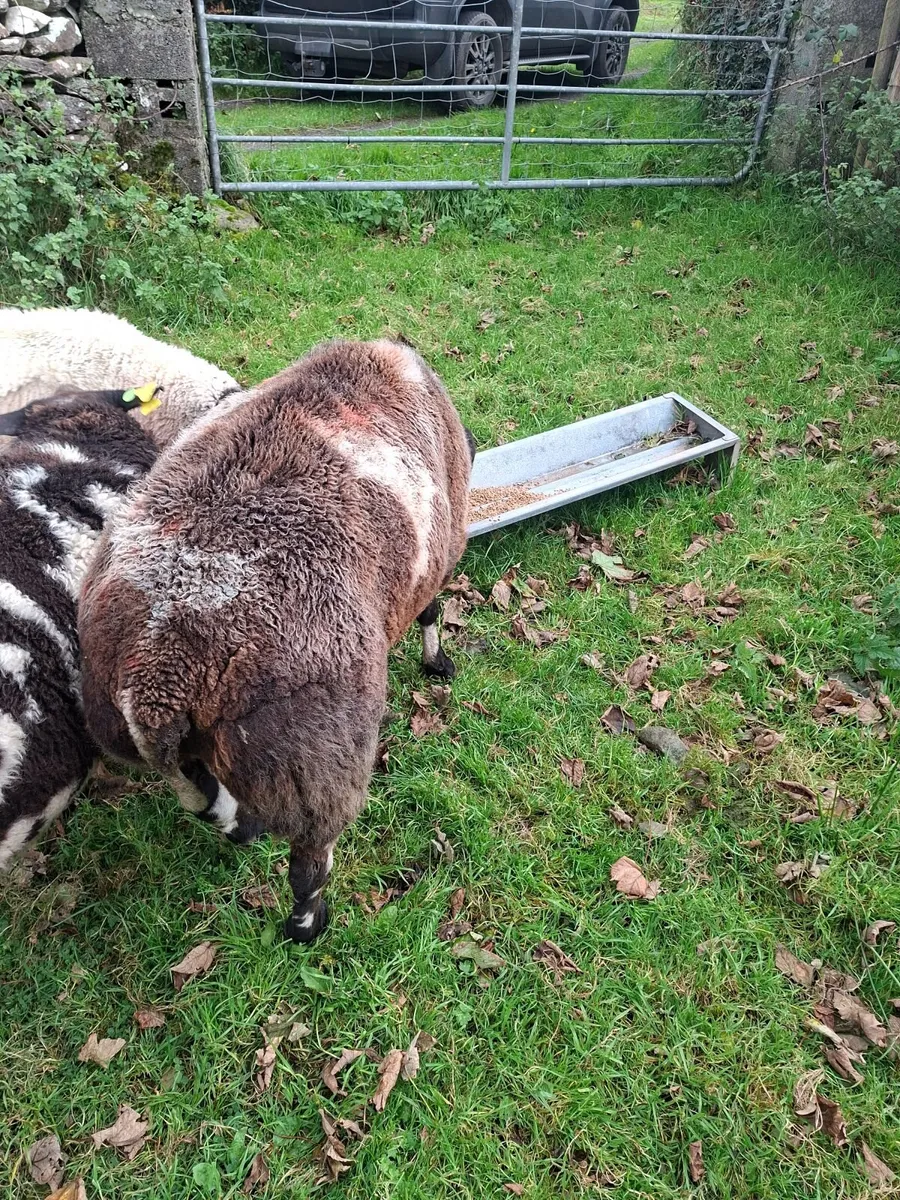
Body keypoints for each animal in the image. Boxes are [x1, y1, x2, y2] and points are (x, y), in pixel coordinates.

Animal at [78, 339, 475, 941]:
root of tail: (157, 674)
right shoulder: (439, 552)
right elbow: (431, 610)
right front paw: (439, 663)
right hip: (312, 762)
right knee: (309, 859)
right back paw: (309, 923)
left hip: (144, 728)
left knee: (199, 795)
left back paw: (240, 827)